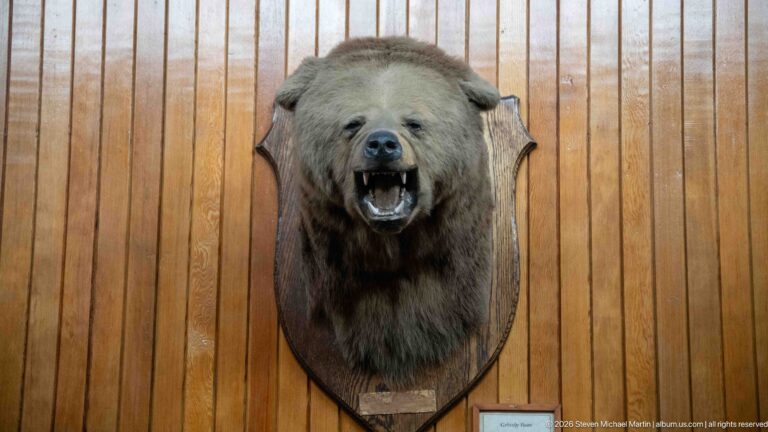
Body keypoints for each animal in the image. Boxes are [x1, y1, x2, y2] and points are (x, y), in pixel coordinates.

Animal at [275, 37, 499, 382]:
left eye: (414, 122)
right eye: (353, 123)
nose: (382, 144)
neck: (393, 246)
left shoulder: (454, 262)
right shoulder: (336, 271)